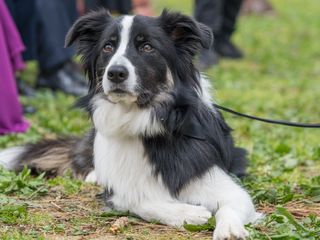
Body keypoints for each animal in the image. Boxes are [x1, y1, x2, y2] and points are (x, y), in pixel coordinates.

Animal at [0, 9, 262, 240]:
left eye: (147, 47)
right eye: (108, 47)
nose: (115, 73)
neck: (143, 121)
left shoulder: (222, 183)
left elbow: (231, 205)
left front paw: (229, 230)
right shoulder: (120, 190)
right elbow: (140, 200)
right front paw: (188, 213)